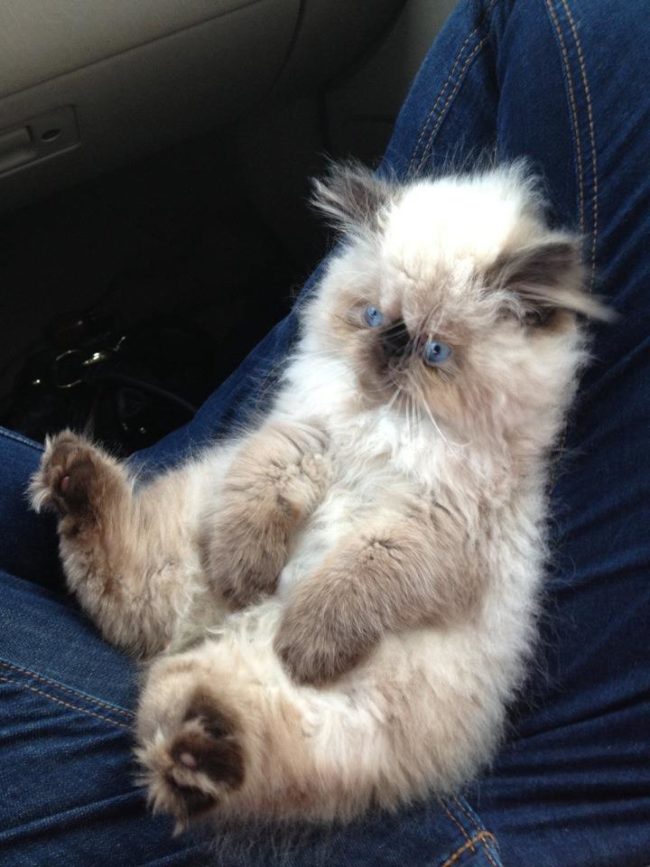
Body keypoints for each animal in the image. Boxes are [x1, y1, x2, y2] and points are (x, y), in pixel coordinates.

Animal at [30, 163, 608, 836]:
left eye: (436, 351)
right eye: (374, 315)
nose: (392, 345)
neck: (385, 425)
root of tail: (195, 633)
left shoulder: (431, 525)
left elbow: (352, 578)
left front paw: (305, 640)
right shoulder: (299, 436)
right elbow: (261, 496)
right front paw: (245, 571)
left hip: (320, 722)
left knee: (222, 745)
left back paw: (197, 753)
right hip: (176, 546)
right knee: (116, 584)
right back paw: (71, 477)